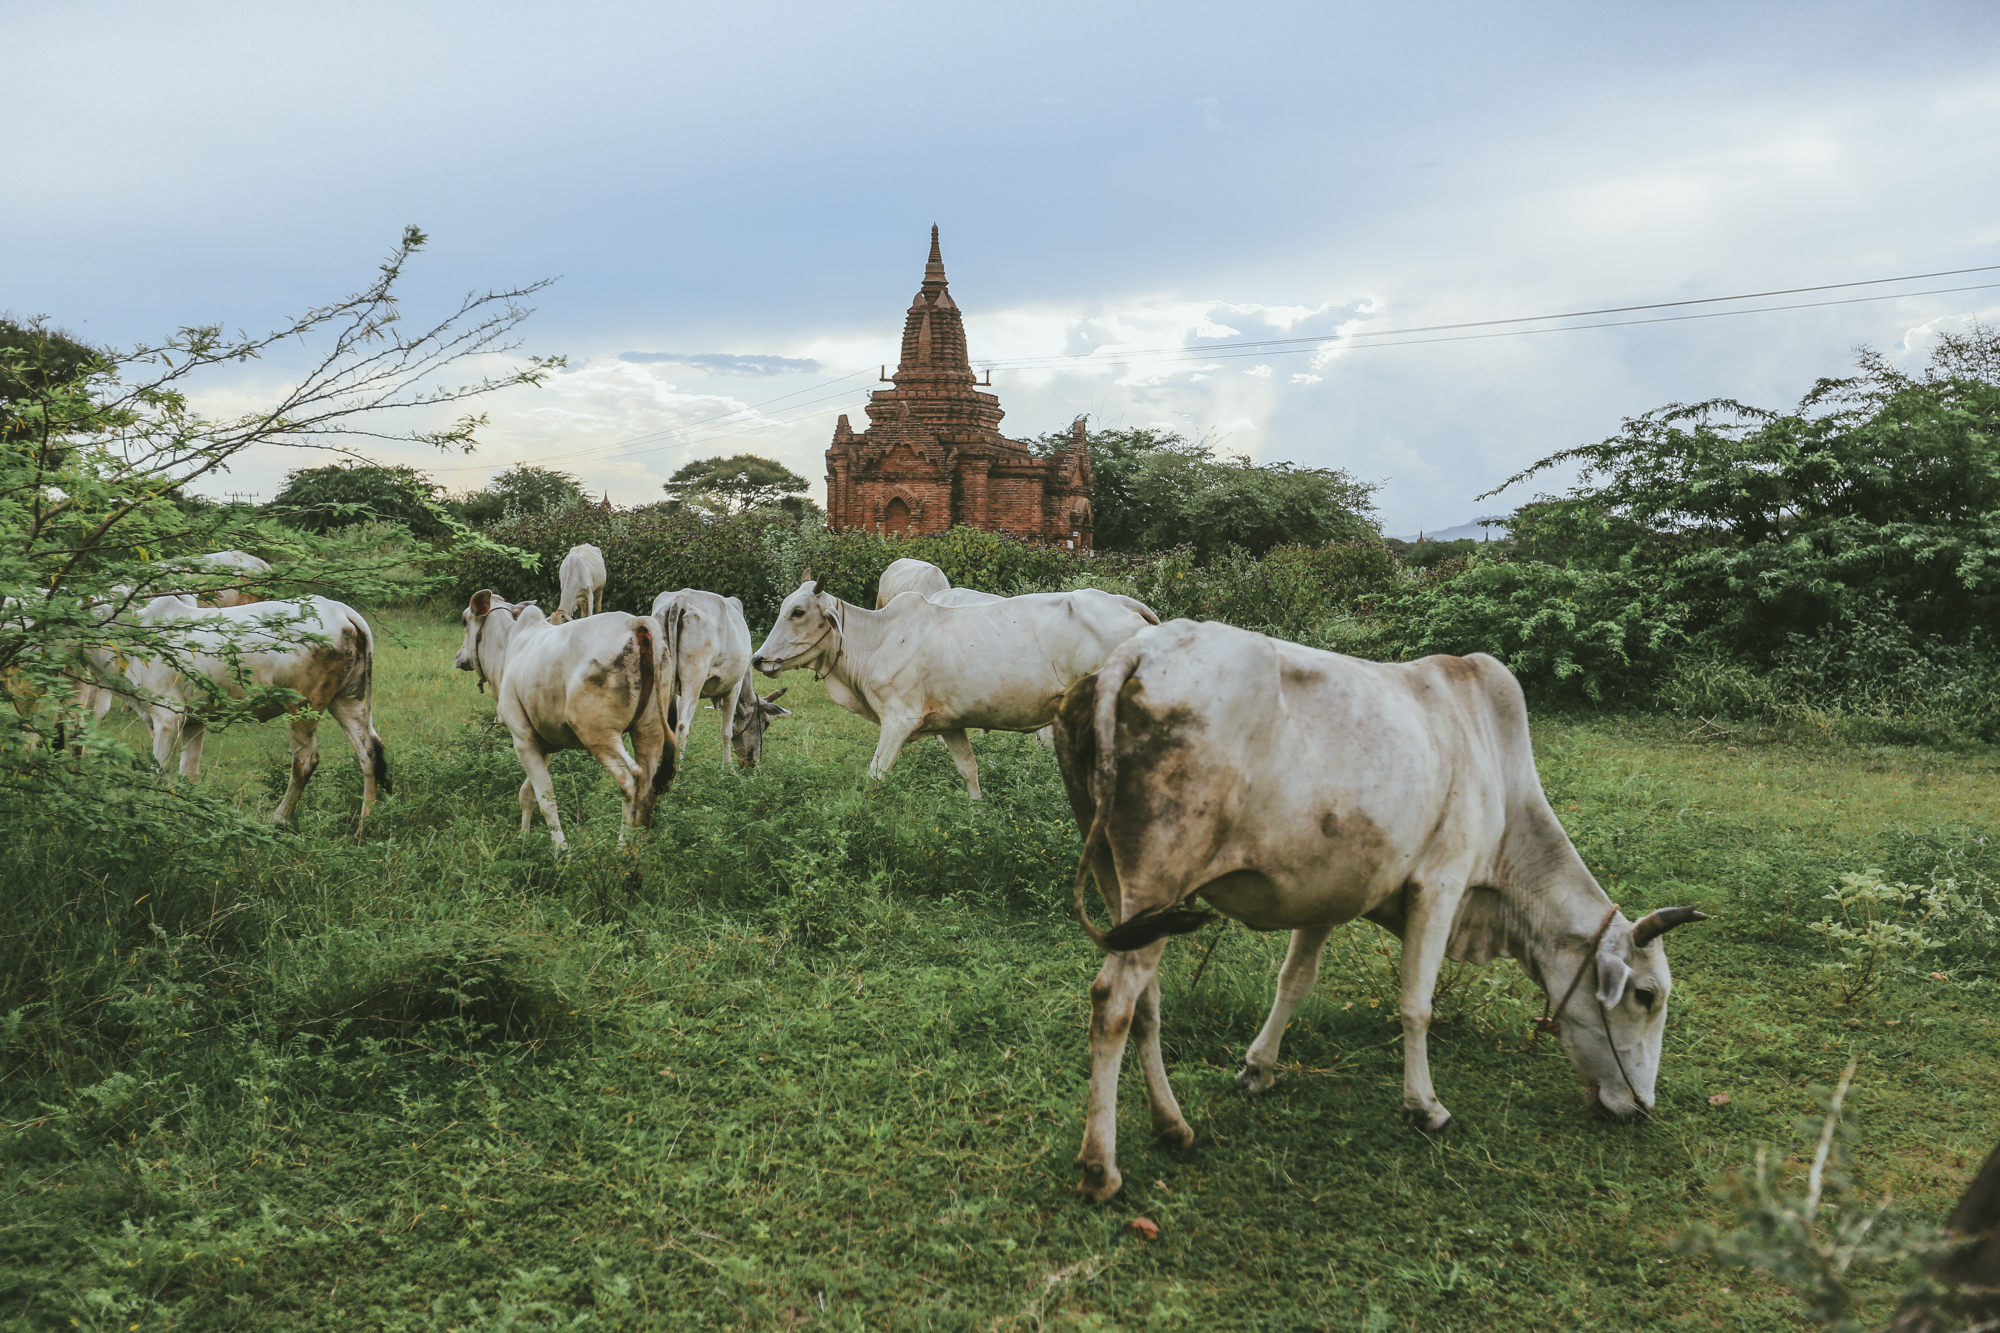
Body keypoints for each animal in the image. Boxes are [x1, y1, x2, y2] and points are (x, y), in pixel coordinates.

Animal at [105, 588, 394, 820]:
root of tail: (342, 612)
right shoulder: (193, 721)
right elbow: (187, 774)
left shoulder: (167, 718)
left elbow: (158, 773)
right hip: (347, 699)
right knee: (369, 753)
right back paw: (365, 824)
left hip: (304, 705)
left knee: (305, 761)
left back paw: (277, 819)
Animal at [452, 588, 672, 844]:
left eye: (464, 621)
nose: (458, 656)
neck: (507, 648)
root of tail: (635, 622)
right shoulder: (543, 743)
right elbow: (528, 793)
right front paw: (524, 838)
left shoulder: (522, 739)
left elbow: (546, 801)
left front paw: (561, 850)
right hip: (649, 731)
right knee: (648, 786)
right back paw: (638, 846)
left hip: (598, 735)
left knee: (629, 779)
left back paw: (621, 847)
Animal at [648, 588, 788, 764]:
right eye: (766, 723)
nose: (751, 762)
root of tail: (680, 599)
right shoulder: (734, 686)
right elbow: (726, 731)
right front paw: (728, 766)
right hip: (694, 680)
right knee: (682, 726)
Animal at [752, 572, 1160, 800]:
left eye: (798, 612)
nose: (758, 659)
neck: (876, 639)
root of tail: (1123, 603)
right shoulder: (949, 723)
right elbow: (969, 770)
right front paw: (977, 814)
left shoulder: (898, 720)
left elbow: (875, 775)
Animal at [1048, 616, 1704, 1200]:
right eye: (1646, 996)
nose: (1641, 1107)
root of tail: (1133, 654)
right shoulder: (1440, 885)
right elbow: (1416, 1004)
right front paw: (1425, 1107)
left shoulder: (1327, 894)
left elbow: (1294, 982)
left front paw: (1258, 1069)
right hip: (1160, 878)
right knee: (1112, 1003)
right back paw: (1101, 1169)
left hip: (1125, 889)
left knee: (1146, 1004)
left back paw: (1173, 1127)